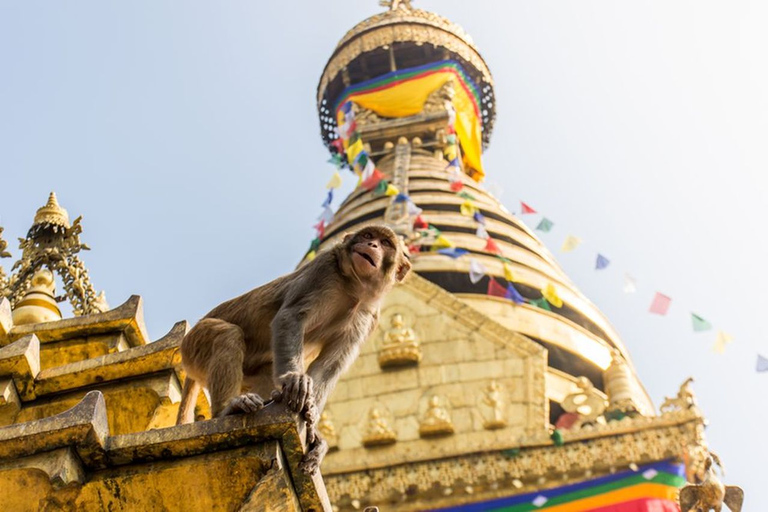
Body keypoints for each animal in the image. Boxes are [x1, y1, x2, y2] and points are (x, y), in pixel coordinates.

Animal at [176, 226, 412, 474]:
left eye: (385, 243)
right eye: (367, 236)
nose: (372, 245)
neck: (354, 289)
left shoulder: (368, 314)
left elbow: (331, 363)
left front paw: (312, 416)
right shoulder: (323, 269)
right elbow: (291, 316)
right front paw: (296, 380)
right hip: (195, 345)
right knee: (226, 336)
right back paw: (227, 410)